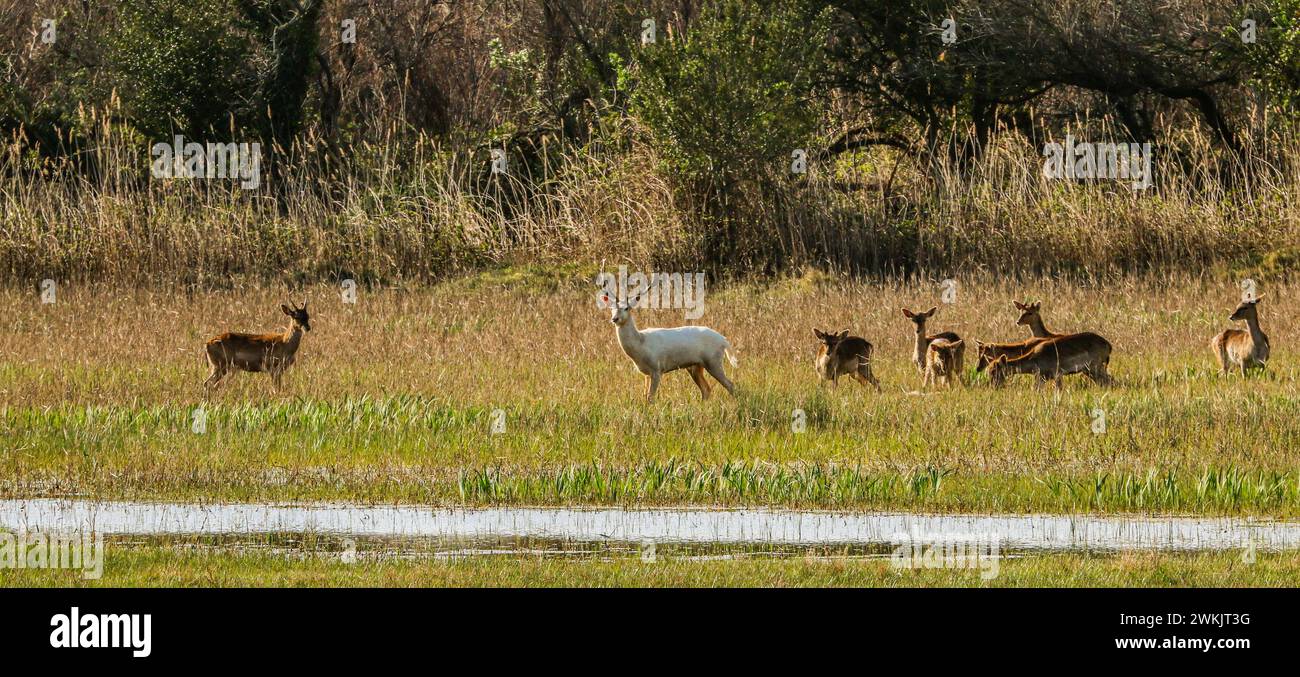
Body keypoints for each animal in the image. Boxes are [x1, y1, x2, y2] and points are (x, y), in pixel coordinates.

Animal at [604, 290, 737, 402]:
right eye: (611, 308)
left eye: (626, 308)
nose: (614, 318)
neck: (641, 344)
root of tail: (724, 340)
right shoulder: (646, 373)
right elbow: (645, 396)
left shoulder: (657, 368)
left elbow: (650, 397)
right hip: (696, 366)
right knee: (706, 389)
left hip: (713, 361)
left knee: (730, 385)